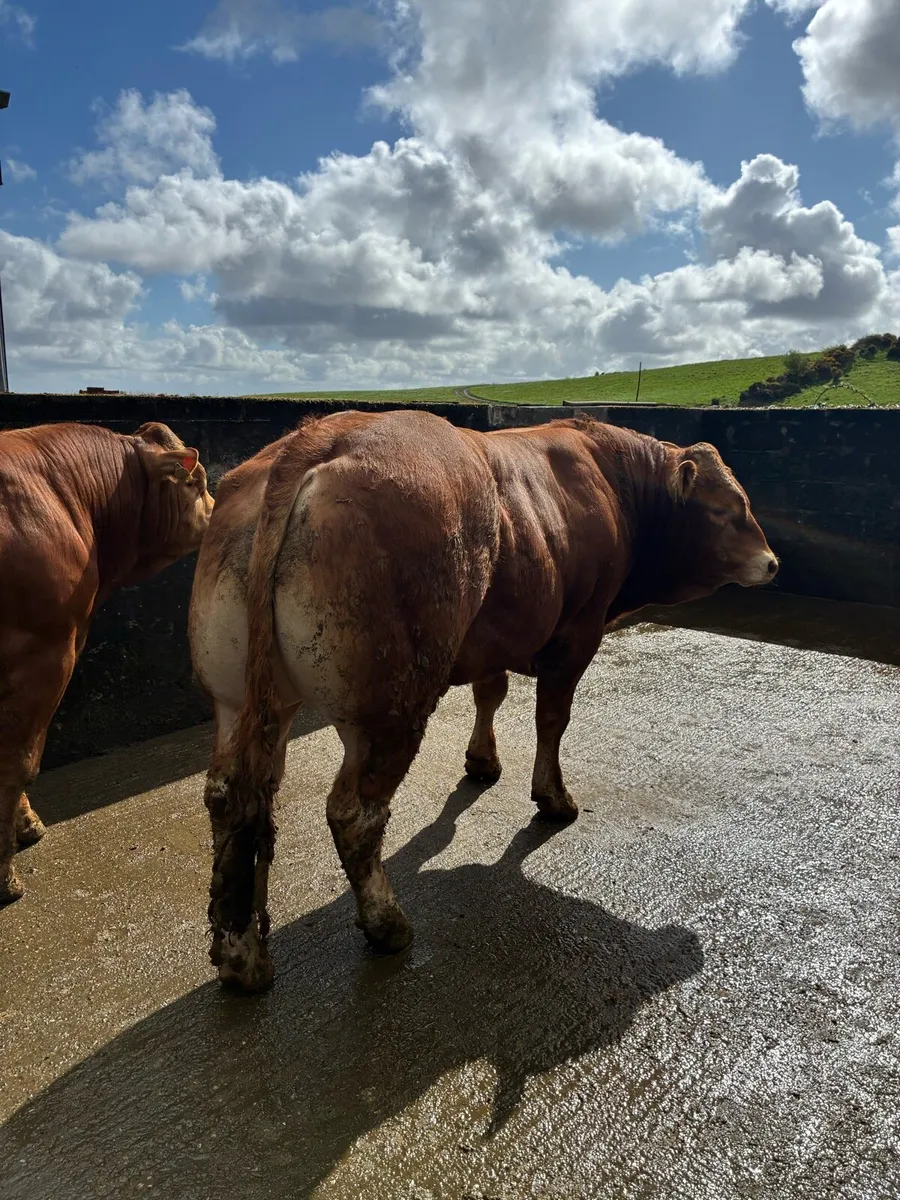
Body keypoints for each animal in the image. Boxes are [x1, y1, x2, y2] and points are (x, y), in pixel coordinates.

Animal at [189, 409, 777, 991]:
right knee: (354, 812)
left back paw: (241, 954)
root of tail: (318, 437)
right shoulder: (577, 633)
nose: (772, 563)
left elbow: (490, 693)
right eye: (725, 510)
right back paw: (387, 924)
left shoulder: (494, 635)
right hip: (389, 705)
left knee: (232, 797)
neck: (612, 482)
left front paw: (481, 761)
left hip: (238, 698)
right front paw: (553, 798)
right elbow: (552, 718)